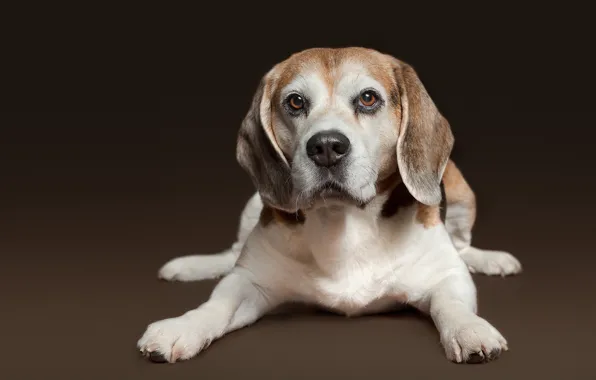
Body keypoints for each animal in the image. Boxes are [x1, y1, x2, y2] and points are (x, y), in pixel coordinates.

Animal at [137, 47, 520, 366]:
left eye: (368, 98)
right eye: (295, 102)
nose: (326, 146)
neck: (344, 221)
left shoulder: (446, 276)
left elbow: (450, 303)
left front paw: (469, 329)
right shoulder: (249, 283)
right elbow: (216, 304)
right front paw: (182, 327)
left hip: (460, 195)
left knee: (464, 247)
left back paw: (492, 260)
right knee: (232, 253)